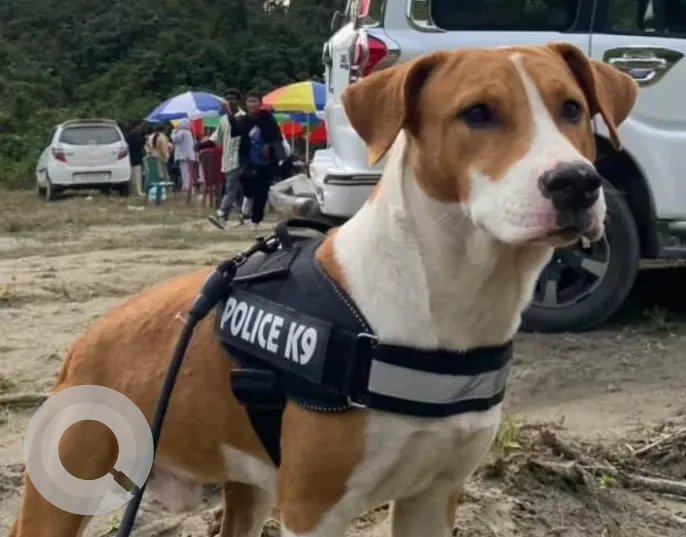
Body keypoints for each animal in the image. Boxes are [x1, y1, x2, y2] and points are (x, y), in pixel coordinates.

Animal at [10, 42, 637, 537]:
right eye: (477, 113)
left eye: (572, 108)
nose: (576, 182)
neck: (445, 300)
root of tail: (82, 344)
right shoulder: (314, 511)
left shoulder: (433, 497)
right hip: (59, 494)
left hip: (248, 488)